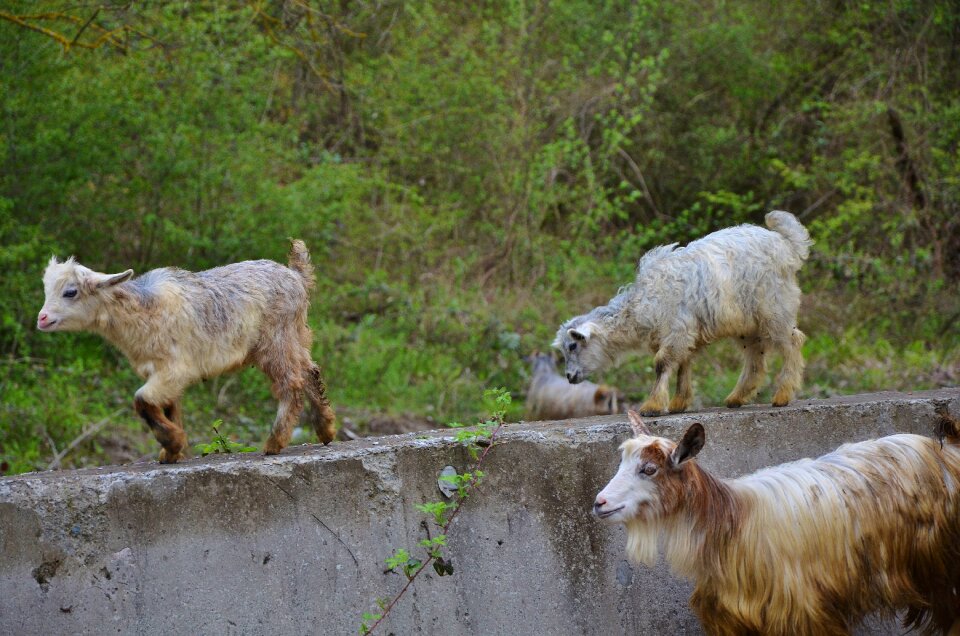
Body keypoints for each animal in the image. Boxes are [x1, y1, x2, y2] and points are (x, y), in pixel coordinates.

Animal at [36, 238, 338, 462]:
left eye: (71, 292)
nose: (42, 318)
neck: (145, 309)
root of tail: (296, 276)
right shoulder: (160, 371)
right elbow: (169, 406)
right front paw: (171, 452)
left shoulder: (175, 368)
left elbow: (142, 400)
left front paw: (173, 442)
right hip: (296, 336)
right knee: (310, 371)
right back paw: (325, 430)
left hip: (275, 340)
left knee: (292, 382)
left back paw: (274, 442)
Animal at [556, 211, 808, 414]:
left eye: (573, 345)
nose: (569, 377)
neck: (640, 305)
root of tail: (786, 244)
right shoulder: (682, 334)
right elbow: (683, 365)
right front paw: (678, 403)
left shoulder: (677, 329)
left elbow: (662, 364)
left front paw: (652, 406)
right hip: (746, 324)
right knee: (755, 357)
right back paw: (737, 397)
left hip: (776, 308)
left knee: (791, 342)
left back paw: (783, 395)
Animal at [596, 410, 960, 632]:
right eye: (622, 463)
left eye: (649, 469)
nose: (599, 503)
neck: (731, 520)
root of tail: (945, 451)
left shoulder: (807, 612)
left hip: (940, 571)